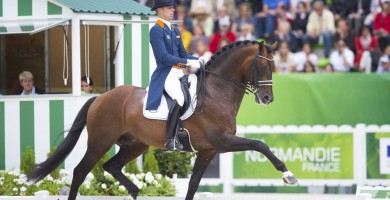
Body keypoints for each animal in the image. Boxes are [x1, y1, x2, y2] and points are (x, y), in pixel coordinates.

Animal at [28, 40, 296, 198]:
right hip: (100, 141)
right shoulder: (222, 141)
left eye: (274, 67)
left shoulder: (208, 151)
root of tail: (101, 97)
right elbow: (260, 144)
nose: (267, 98)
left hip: (136, 144)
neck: (217, 91)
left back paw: (135, 190)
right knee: (80, 172)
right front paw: (287, 174)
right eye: (262, 67)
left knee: (111, 167)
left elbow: (193, 186)